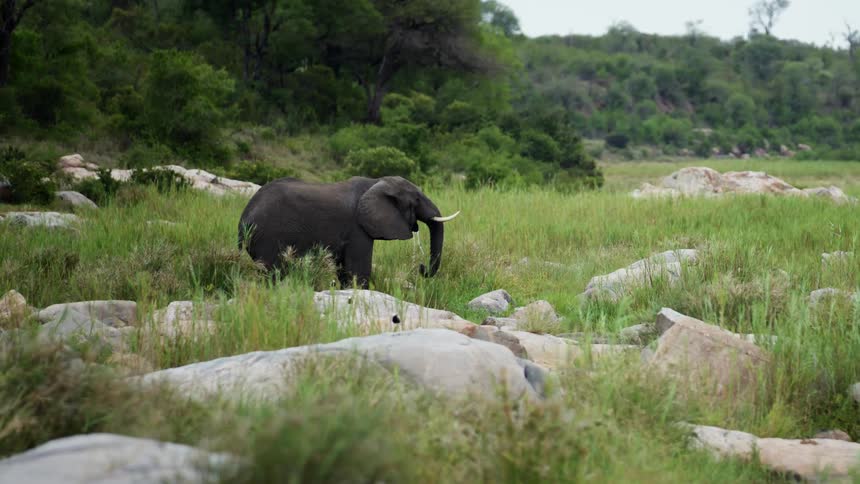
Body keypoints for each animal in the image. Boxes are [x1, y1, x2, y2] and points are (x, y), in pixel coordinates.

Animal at [237, 175, 459, 288]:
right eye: (417, 199)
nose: (421, 268)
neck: (376, 182)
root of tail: (244, 217)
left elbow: (346, 271)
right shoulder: (357, 228)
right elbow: (357, 270)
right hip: (267, 237)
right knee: (273, 271)